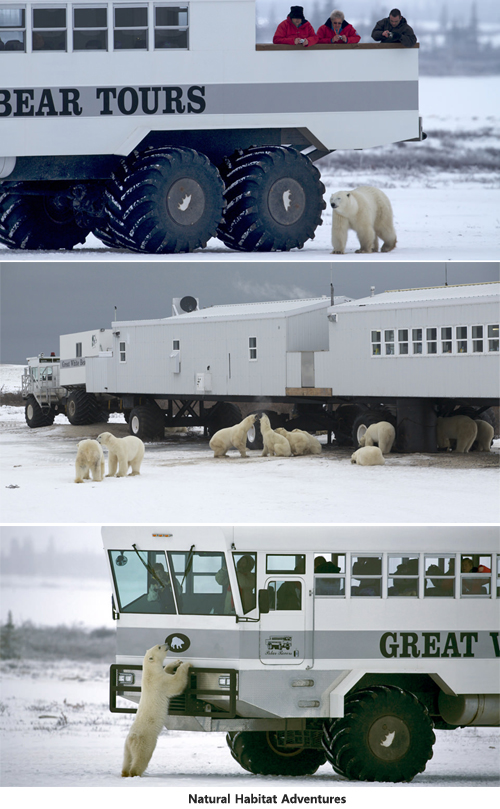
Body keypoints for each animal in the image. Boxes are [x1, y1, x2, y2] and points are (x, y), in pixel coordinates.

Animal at [121, 644, 191, 776]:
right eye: (159, 647)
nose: (167, 644)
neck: (150, 673)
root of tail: (132, 738)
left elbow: (167, 670)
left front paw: (176, 662)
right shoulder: (161, 682)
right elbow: (176, 683)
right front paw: (186, 664)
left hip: (126, 747)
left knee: (127, 759)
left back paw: (124, 773)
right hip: (145, 742)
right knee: (141, 758)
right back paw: (135, 773)